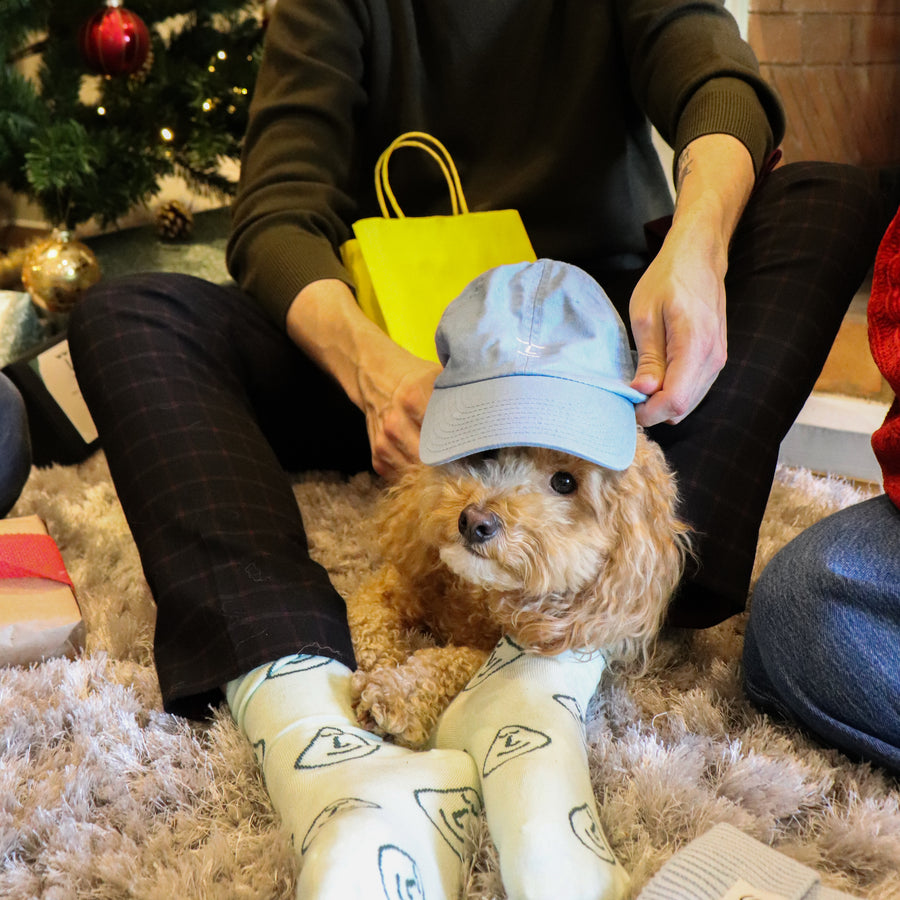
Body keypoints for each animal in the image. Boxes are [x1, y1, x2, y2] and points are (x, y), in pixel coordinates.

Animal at [346, 432, 688, 748]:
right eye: (488, 453)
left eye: (565, 481)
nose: (474, 522)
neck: (477, 593)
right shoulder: (391, 584)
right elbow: (366, 623)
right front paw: (380, 665)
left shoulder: (489, 652)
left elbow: (450, 662)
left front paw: (394, 695)